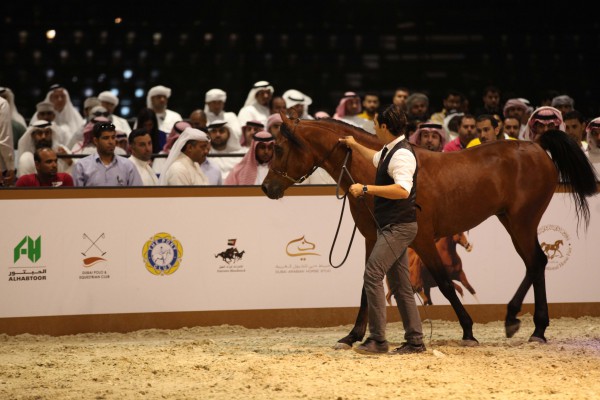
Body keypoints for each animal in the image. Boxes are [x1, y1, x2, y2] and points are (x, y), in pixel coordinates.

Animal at [261, 114, 597, 347]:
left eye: (278, 147)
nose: (266, 188)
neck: (372, 173)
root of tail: (537, 147)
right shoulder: (373, 238)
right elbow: (367, 287)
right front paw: (354, 335)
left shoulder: (422, 239)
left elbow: (445, 284)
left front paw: (468, 330)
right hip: (511, 221)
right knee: (534, 263)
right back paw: (524, 323)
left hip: (522, 221)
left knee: (536, 262)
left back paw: (529, 325)